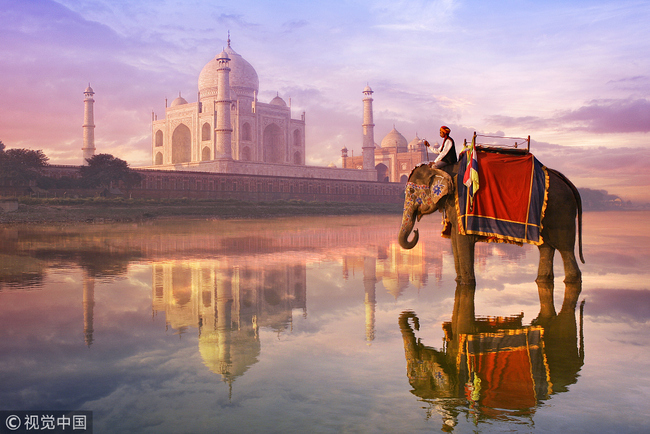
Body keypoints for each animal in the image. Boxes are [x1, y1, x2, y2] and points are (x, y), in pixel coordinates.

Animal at [398, 162, 584, 284]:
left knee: (565, 248)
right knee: (545, 247)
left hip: (561, 209)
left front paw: (466, 284)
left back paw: (571, 280)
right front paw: (458, 280)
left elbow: (462, 240)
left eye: (412, 191)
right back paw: (541, 280)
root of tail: (567, 181)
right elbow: (455, 240)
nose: (416, 231)